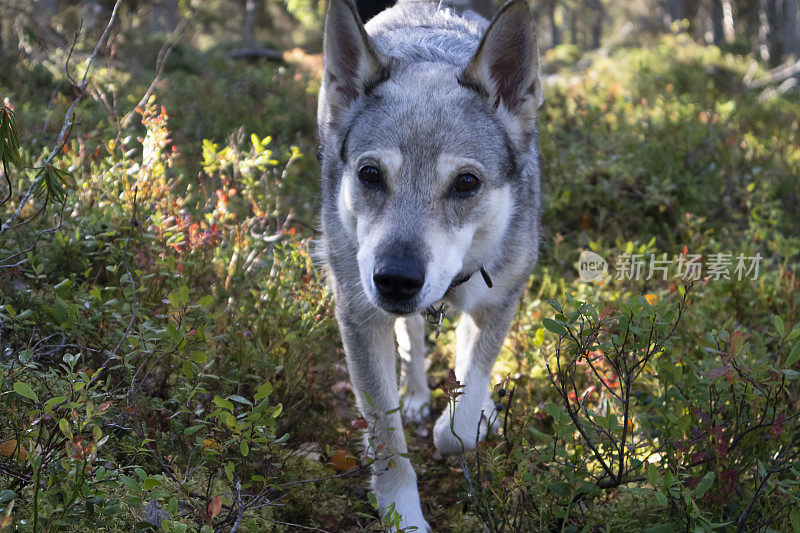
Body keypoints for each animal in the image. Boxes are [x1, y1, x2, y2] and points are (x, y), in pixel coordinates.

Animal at [316, 0, 540, 524]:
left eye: (466, 183)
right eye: (369, 174)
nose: (396, 279)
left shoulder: (502, 297)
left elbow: (472, 381)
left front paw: (462, 425)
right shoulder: (360, 318)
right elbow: (387, 439)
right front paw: (404, 517)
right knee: (414, 341)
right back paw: (418, 396)